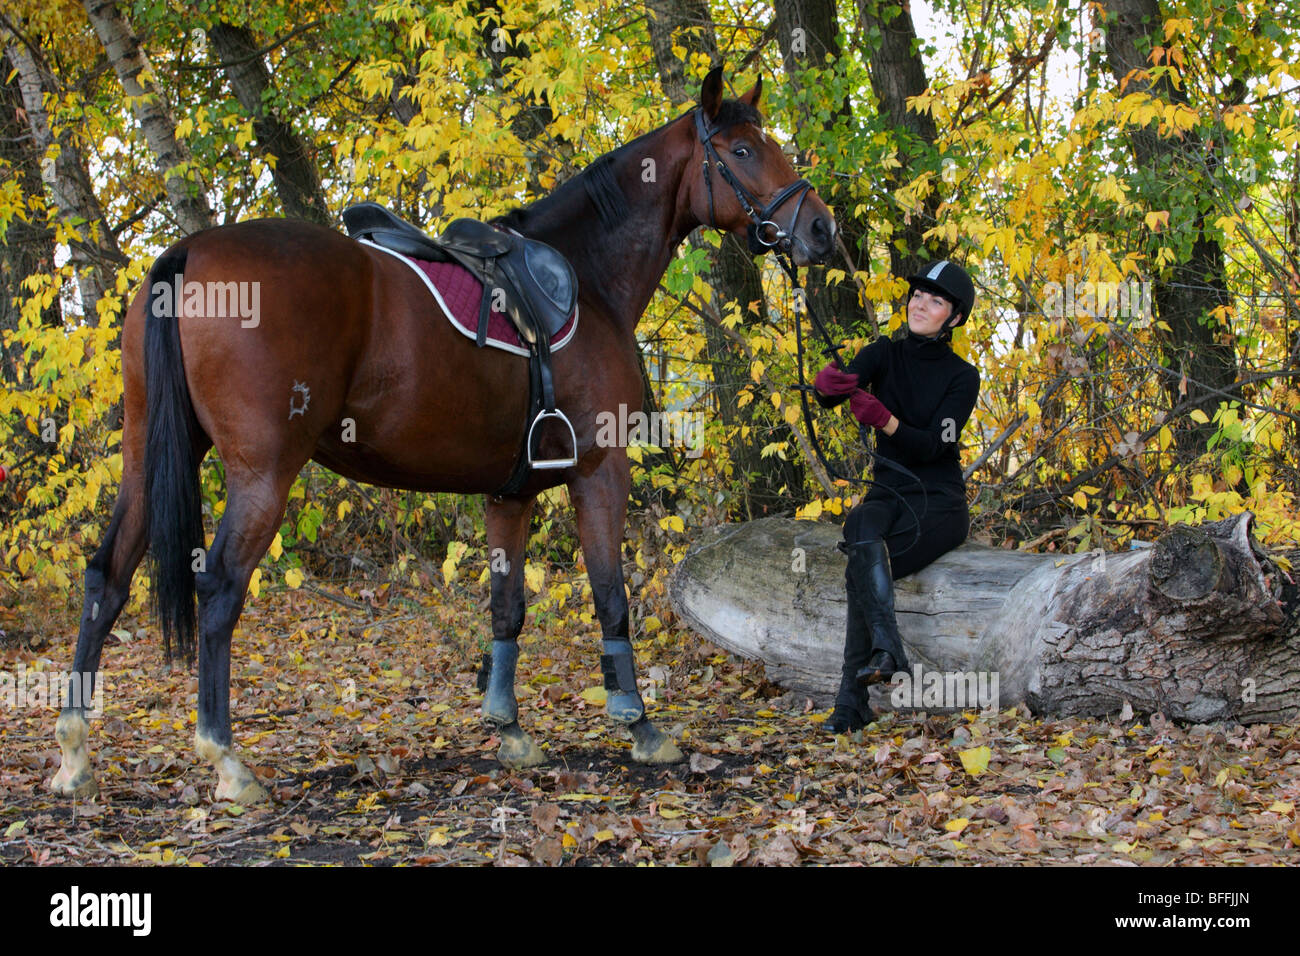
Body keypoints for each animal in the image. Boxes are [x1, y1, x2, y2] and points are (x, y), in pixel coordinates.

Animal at [49, 67, 836, 804]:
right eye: (741, 150)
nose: (821, 229)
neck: (588, 277)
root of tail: (189, 254)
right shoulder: (599, 472)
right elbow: (610, 595)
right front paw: (639, 724)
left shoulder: (511, 493)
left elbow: (507, 607)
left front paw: (510, 730)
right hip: (262, 473)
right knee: (217, 591)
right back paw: (227, 761)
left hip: (148, 459)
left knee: (106, 577)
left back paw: (75, 753)